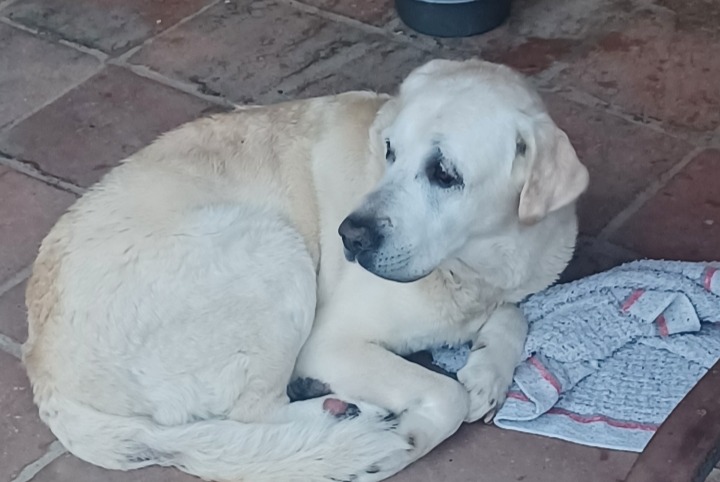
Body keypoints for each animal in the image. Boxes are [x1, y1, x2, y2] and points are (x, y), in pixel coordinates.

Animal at [23, 60, 592, 482]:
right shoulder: (330, 342)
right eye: (390, 152)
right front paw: (411, 436)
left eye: (444, 173)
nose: (350, 236)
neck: (476, 264)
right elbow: (445, 394)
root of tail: (43, 374)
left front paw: (487, 373)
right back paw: (347, 427)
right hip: (271, 248)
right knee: (253, 412)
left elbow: (514, 315)